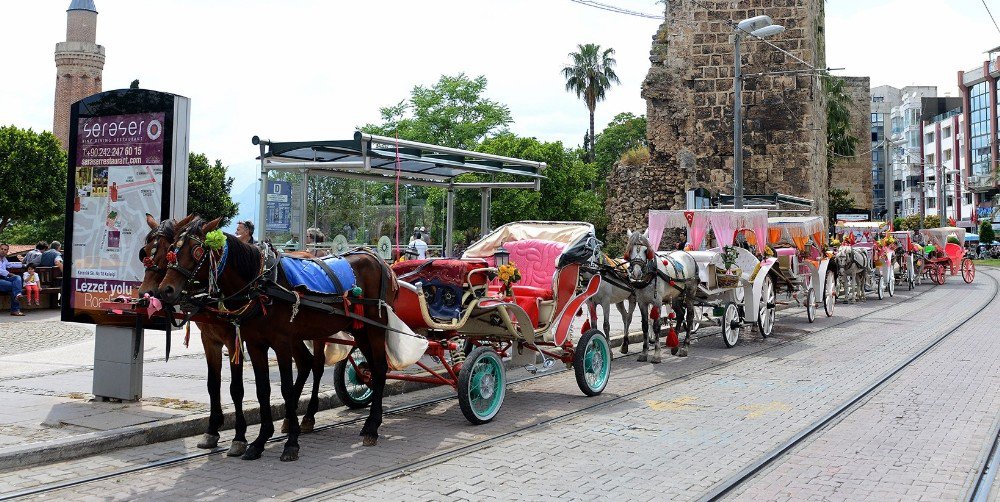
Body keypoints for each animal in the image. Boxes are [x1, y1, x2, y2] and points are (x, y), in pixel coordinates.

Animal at [135, 216, 324, 458]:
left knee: (317, 365)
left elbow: (236, 388)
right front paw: (212, 431)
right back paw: (289, 422)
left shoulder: (234, 341)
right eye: (145, 251)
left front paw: (239, 437)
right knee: (305, 362)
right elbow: (213, 384)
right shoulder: (210, 340)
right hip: (294, 336)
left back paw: (308, 417)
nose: (148, 292)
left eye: (168, 250)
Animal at [154, 214, 396, 460]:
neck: (261, 284)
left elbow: (284, 389)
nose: (165, 290)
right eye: (173, 249)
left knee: (374, 368)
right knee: (366, 368)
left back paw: (371, 426)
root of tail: (377, 259)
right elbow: (262, 390)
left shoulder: (279, 343)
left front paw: (290, 444)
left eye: (196, 251)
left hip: (374, 328)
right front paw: (260, 441)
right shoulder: (254, 343)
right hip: (359, 329)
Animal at [620, 231, 700, 360]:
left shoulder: (657, 301)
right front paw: (644, 352)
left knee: (690, 316)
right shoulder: (642, 302)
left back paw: (684, 347)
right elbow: (645, 326)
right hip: (676, 295)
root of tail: (688, 255)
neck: (651, 273)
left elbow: (656, 326)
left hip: (690, 294)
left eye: (645, 251)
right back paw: (675, 346)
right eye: (629, 250)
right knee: (680, 314)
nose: (636, 273)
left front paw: (657, 354)